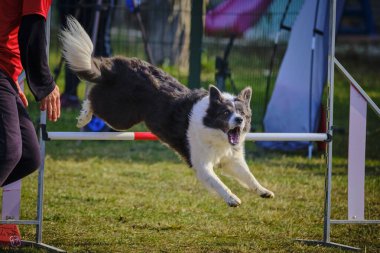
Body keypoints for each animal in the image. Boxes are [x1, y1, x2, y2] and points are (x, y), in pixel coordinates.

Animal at [60, 17, 274, 208]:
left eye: (242, 114)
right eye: (225, 113)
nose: (238, 120)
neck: (213, 131)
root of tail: (116, 65)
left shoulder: (231, 160)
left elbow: (249, 176)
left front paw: (263, 191)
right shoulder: (202, 164)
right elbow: (219, 183)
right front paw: (232, 199)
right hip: (121, 116)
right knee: (93, 96)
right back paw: (83, 116)